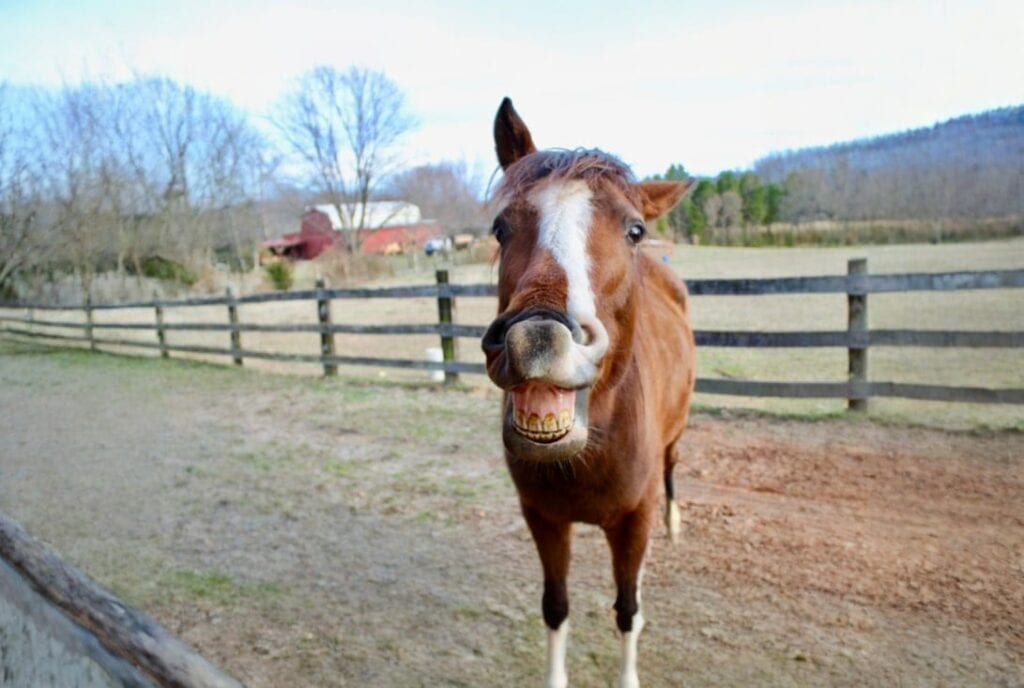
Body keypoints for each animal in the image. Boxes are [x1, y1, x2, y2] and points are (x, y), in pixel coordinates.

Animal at [482, 98, 696, 688]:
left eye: (635, 230)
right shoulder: (543, 517)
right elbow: (556, 607)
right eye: (501, 227)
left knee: (672, 473)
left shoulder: (633, 520)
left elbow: (627, 611)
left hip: (675, 442)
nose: (537, 336)